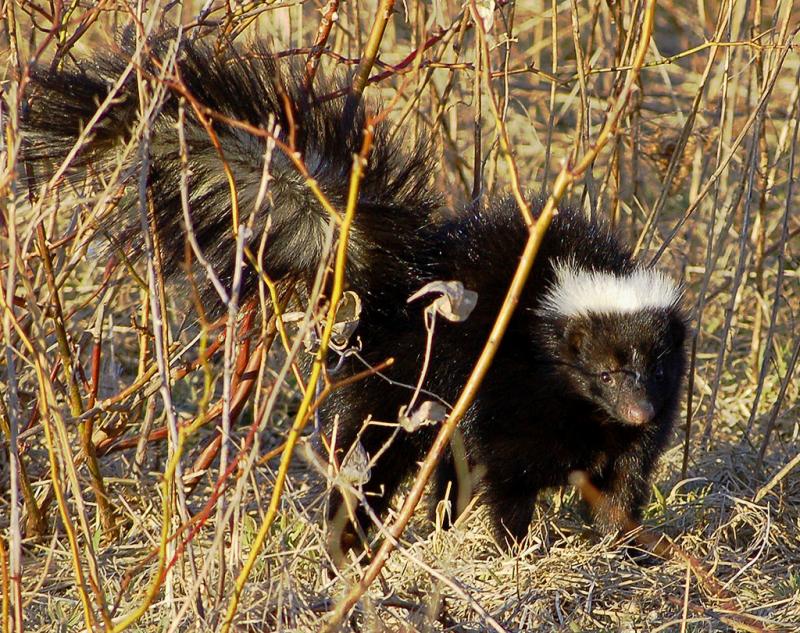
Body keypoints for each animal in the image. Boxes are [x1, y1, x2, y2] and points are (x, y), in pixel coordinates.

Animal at [21, 34, 688, 556]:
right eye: (604, 372)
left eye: (654, 367)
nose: (638, 408)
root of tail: (395, 273)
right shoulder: (508, 388)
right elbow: (507, 475)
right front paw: (515, 547)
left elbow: (625, 479)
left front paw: (626, 543)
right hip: (396, 378)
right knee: (373, 455)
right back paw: (354, 533)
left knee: (438, 465)